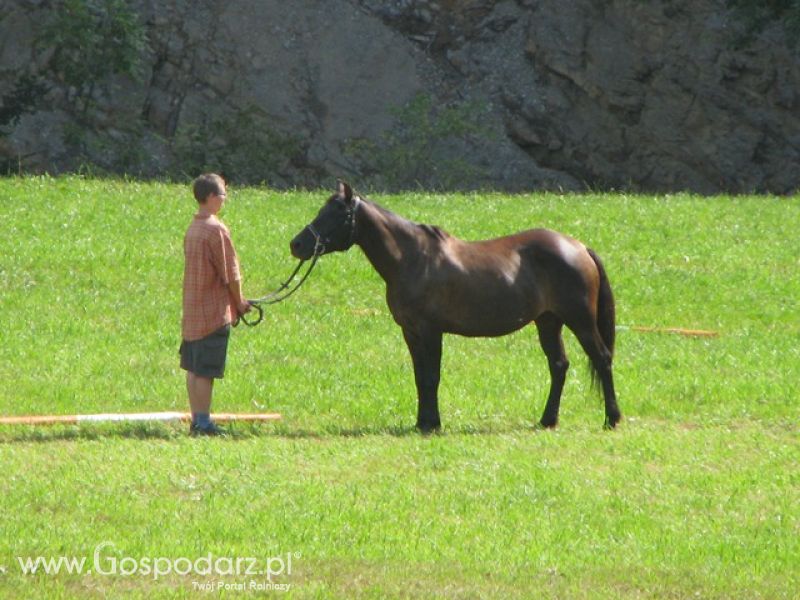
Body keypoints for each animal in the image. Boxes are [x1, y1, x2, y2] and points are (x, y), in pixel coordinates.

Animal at [290, 182, 620, 432]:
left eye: (337, 213)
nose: (297, 245)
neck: (413, 259)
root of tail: (579, 247)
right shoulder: (411, 332)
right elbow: (420, 377)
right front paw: (422, 422)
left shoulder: (431, 331)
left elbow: (431, 376)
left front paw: (432, 424)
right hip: (549, 322)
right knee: (559, 365)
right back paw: (547, 420)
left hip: (580, 321)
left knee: (602, 359)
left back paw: (611, 419)